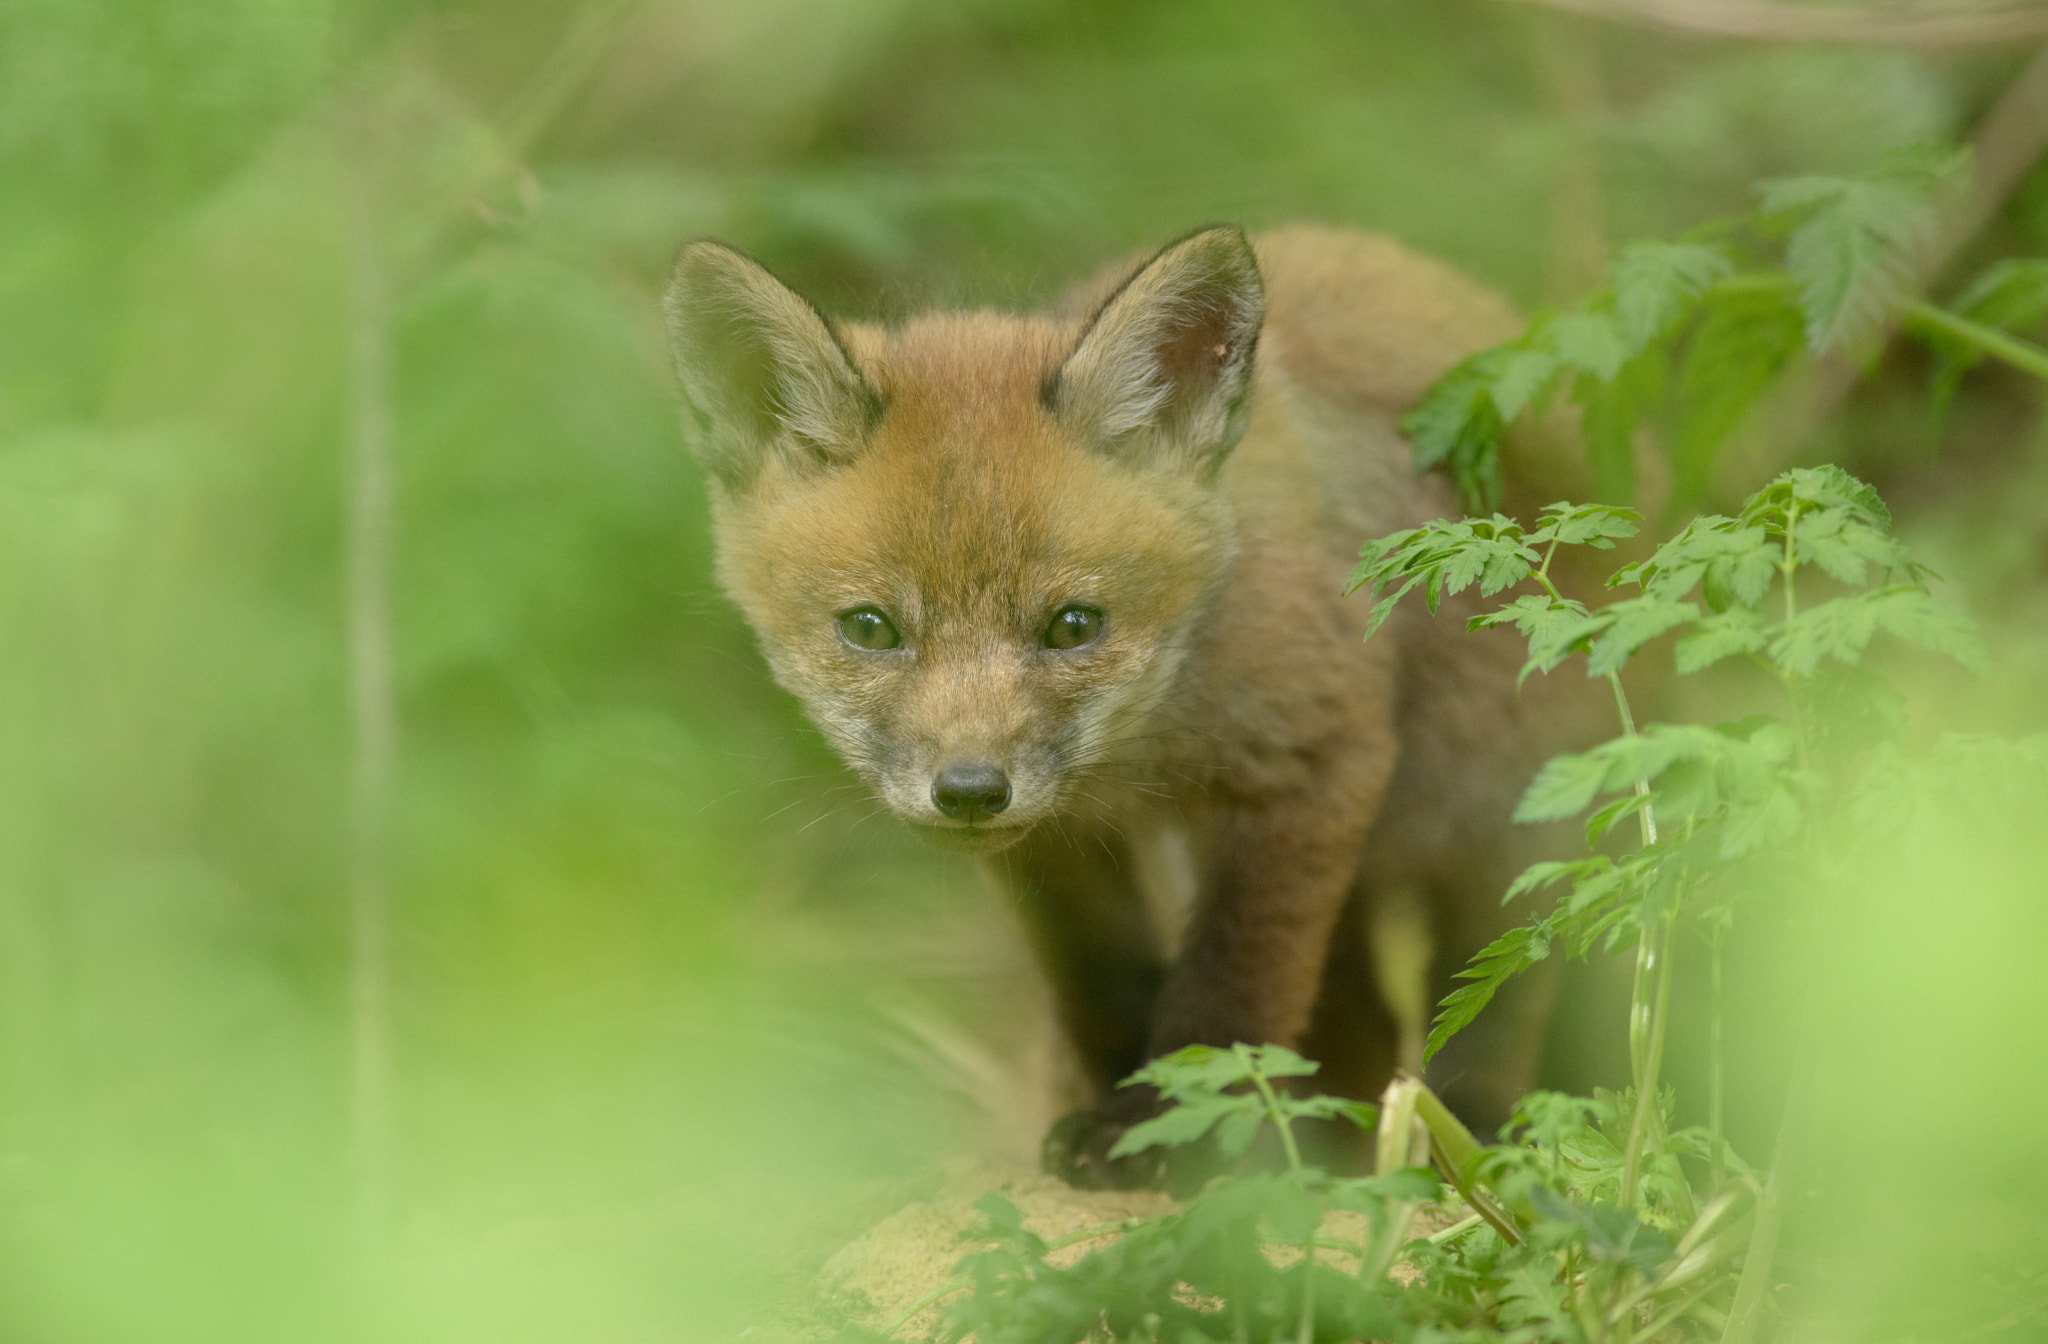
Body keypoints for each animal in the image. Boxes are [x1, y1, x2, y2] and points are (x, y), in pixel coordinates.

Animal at [661, 224, 1610, 1188]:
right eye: (870, 629)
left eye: (1074, 625)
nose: (969, 790)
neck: (1143, 751)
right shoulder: (1057, 850)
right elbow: (1104, 983)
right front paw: (1116, 1110)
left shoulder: (1312, 767)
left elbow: (1230, 987)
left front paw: (1171, 1133)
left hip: (1504, 830)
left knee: (1496, 998)